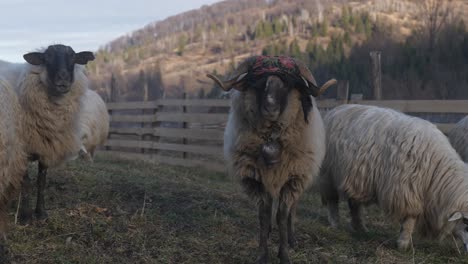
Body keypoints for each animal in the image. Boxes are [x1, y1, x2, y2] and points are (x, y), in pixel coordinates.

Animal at [0, 44, 95, 224]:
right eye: (47, 58)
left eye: (73, 57)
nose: (63, 79)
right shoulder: (21, 147)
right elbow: (26, 183)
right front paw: (25, 216)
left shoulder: (45, 145)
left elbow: (41, 182)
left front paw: (41, 213)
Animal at [208, 55, 336, 264]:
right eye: (259, 83)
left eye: (287, 84)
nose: (270, 108)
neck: (271, 136)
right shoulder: (255, 179)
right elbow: (264, 216)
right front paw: (262, 254)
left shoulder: (293, 179)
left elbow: (282, 216)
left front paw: (284, 254)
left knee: (292, 211)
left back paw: (292, 240)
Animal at [322, 103, 468, 252]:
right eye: (466, 221)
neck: (435, 169)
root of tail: (336, 109)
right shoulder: (406, 191)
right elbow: (410, 219)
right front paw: (403, 244)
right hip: (328, 174)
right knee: (332, 200)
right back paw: (335, 223)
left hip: (356, 177)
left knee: (354, 203)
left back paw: (360, 227)